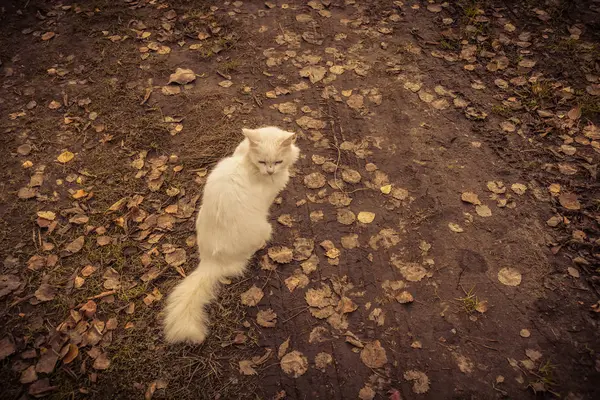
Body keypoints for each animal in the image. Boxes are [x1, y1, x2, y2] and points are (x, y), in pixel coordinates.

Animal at [163, 126, 298, 344]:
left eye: (277, 161)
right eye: (263, 162)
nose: (270, 171)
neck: (246, 161)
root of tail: (210, 261)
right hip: (264, 227)